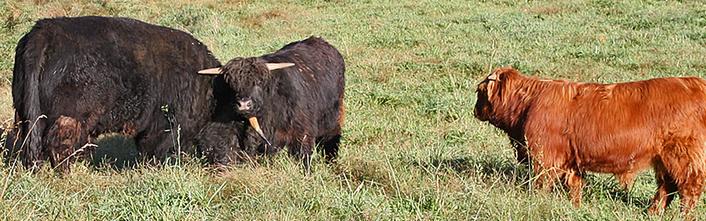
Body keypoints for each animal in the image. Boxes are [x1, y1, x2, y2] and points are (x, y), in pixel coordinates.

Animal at [472, 67, 704, 218]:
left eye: (479, 92)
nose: (474, 110)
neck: (527, 104)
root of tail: (695, 83)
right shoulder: (571, 161)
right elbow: (575, 186)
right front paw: (575, 207)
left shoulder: (544, 157)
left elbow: (541, 183)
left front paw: (536, 201)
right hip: (664, 159)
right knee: (667, 186)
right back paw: (652, 212)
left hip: (682, 154)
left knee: (689, 187)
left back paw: (683, 216)